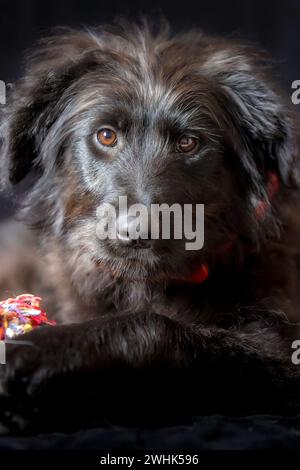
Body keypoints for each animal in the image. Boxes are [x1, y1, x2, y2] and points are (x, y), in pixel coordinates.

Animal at [0, 21, 300, 434]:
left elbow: (155, 326)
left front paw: (45, 353)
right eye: (106, 135)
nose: (138, 231)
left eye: (189, 142)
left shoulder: (280, 350)